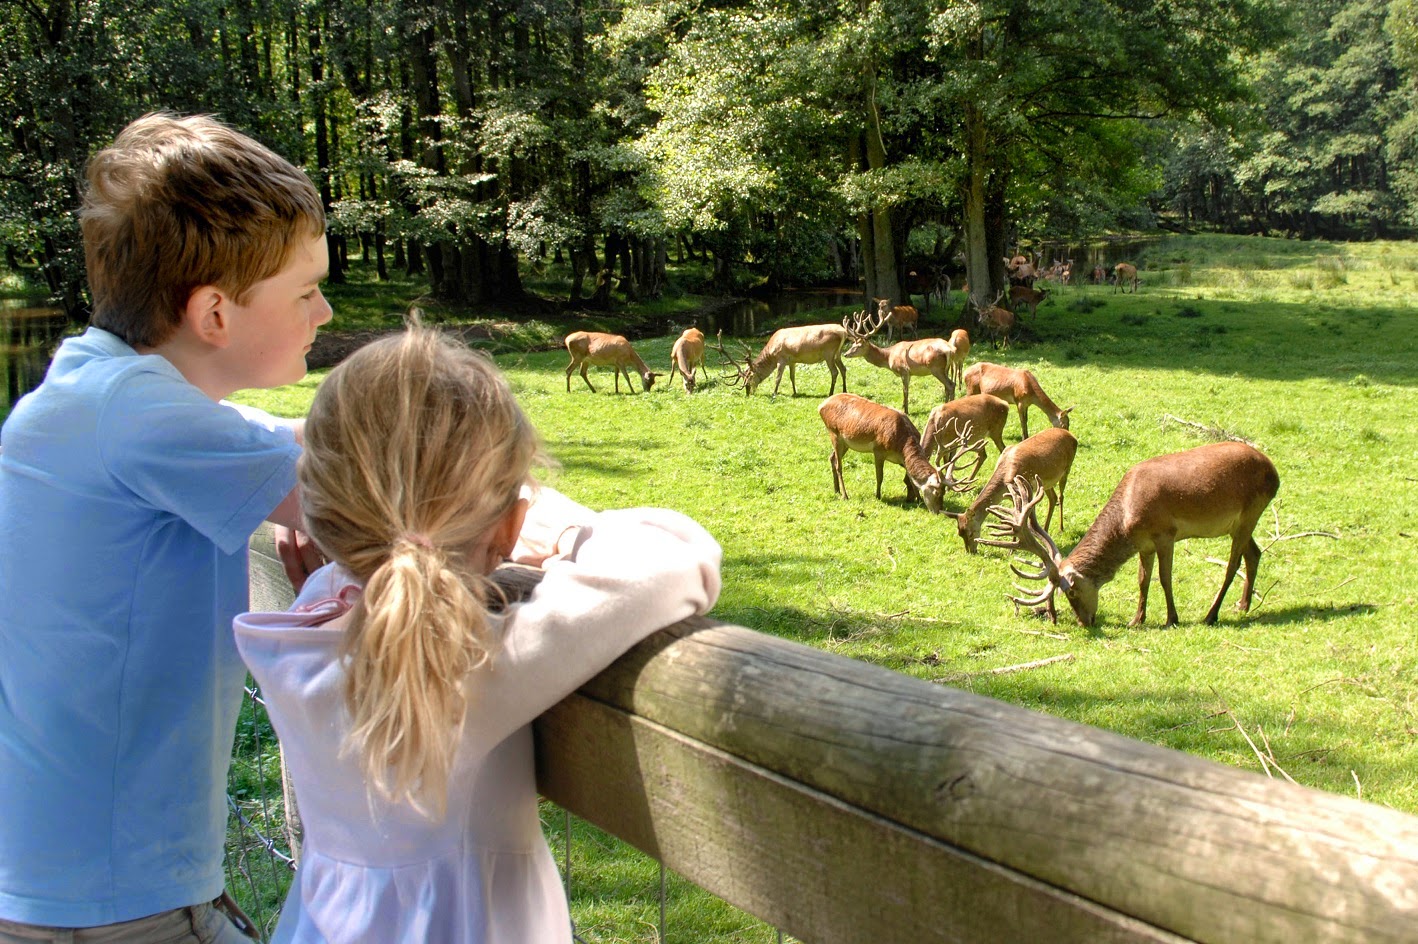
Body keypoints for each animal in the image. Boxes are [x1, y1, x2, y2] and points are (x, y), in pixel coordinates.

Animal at [714, 326, 845, 394]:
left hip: (829, 353)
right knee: (843, 369)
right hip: (837, 354)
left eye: (749, 377)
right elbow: (792, 377)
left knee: (835, 372)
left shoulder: (781, 359)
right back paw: (844, 390)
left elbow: (778, 378)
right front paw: (795, 392)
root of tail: (843, 332)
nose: (748, 392)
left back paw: (831, 393)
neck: (771, 354)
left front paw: (774, 393)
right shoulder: (792, 361)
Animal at [822, 391, 986, 515]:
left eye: (944, 492)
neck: (901, 442)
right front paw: (878, 496)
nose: (939, 511)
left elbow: (911, 479)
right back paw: (845, 495)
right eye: (937, 493)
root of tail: (822, 405)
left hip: (845, 443)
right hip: (834, 433)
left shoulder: (902, 459)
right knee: (839, 465)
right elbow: (880, 477)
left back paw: (836, 490)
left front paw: (918, 499)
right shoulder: (878, 450)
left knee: (832, 458)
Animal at [981, 442, 1281, 623]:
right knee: (1254, 554)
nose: (1085, 622)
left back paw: (1211, 614)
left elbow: (1164, 579)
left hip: (1251, 511)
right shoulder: (1144, 543)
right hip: (1239, 523)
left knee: (1232, 565)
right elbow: (1142, 580)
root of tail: (1274, 472)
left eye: (1071, 593)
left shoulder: (1166, 533)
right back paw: (1243, 605)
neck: (1127, 521)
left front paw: (1171, 619)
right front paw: (1137, 619)